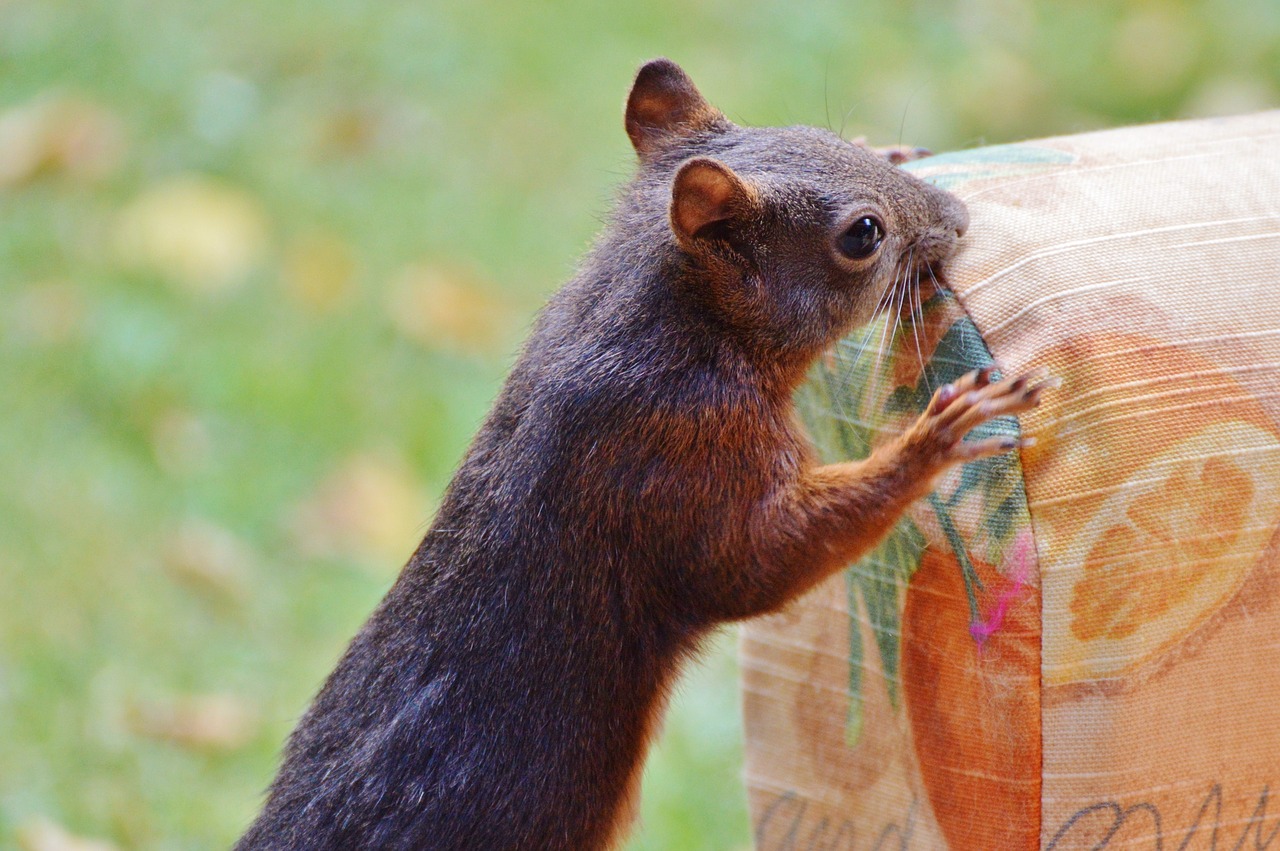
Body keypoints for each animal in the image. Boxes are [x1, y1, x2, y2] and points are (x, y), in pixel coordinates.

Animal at [238, 56, 1049, 844]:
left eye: (823, 135)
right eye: (863, 235)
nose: (959, 219)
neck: (666, 323)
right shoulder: (671, 458)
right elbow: (757, 562)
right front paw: (933, 439)